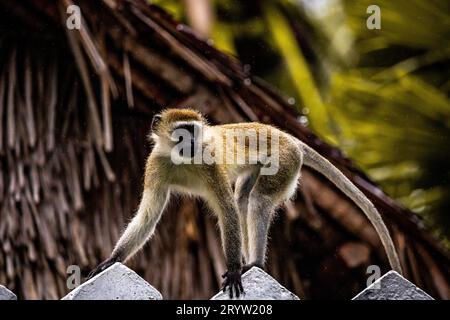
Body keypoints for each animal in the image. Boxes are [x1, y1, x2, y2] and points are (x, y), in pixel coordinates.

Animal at [87, 108, 400, 298]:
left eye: (194, 131)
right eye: (181, 132)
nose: (191, 143)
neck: (182, 159)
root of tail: (289, 137)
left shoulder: (210, 162)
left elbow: (226, 210)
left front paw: (235, 270)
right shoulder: (156, 165)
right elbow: (149, 216)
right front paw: (111, 260)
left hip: (284, 162)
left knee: (257, 202)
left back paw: (253, 264)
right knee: (243, 200)